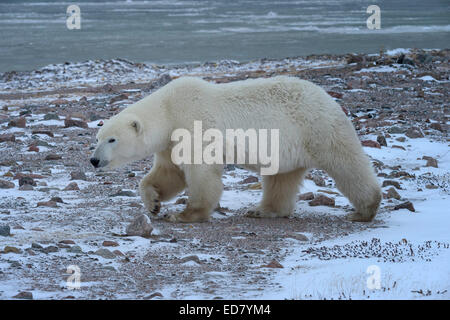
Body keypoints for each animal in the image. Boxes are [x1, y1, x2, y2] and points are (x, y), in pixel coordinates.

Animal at [90, 76, 380, 224]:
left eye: (112, 140)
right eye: (98, 137)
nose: (93, 160)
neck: (169, 110)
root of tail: (328, 97)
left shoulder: (194, 125)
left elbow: (201, 173)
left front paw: (183, 214)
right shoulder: (171, 141)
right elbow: (169, 173)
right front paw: (153, 204)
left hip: (317, 128)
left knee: (346, 164)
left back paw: (365, 209)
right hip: (289, 145)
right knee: (281, 179)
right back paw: (262, 210)